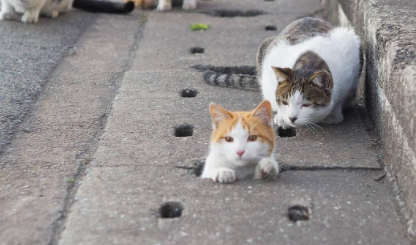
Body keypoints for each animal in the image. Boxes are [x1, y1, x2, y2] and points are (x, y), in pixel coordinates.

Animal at [203, 18, 362, 129]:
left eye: (306, 105)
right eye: (285, 102)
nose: (292, 118)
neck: (310, 61)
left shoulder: (351, 63)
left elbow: (341, 96)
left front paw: (334, 113)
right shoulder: (273, 53)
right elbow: (270, 92)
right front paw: (281, 116)